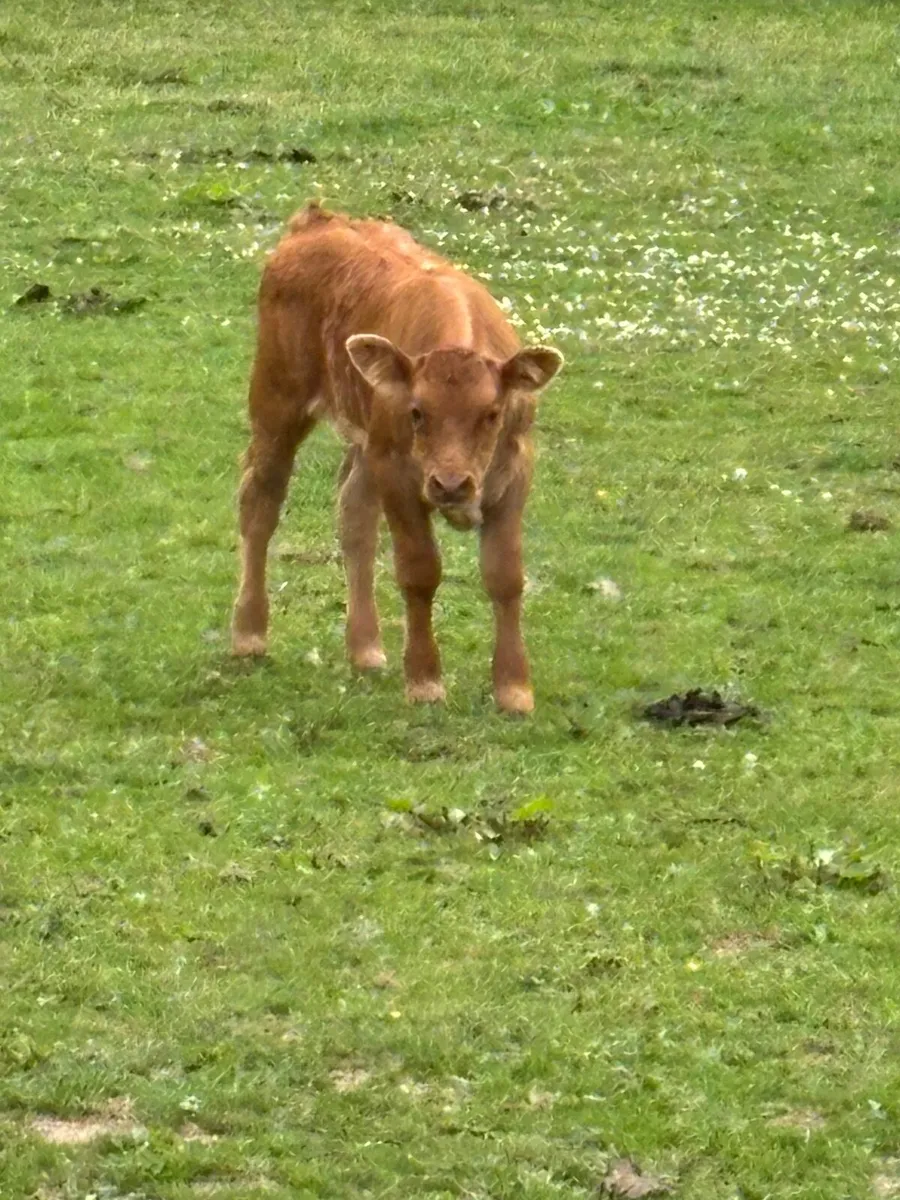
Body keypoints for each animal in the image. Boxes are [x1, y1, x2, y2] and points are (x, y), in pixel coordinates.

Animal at [231, 202, 563, 714]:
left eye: (492, 413)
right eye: (417, 412)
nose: (451, 485)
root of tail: (317, 221)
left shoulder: (515, 473)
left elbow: (505, 576)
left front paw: (513, 690)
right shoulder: (399, 474)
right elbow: (419, 570)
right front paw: (425, 680)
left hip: (365, 444)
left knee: (354, 516)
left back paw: (365, 648)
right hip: (277, 403)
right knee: (260, 503)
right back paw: (249, 634)